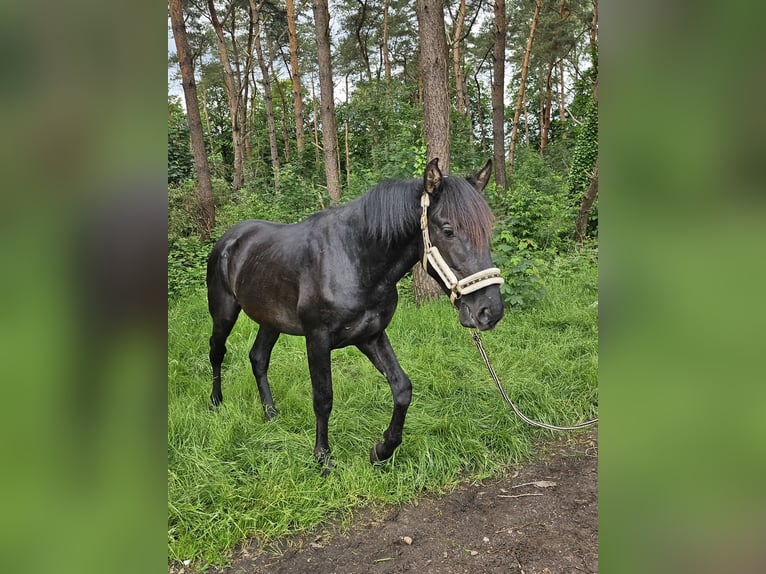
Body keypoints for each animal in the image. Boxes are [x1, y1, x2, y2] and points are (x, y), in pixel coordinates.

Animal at [207, 159, 508, 472]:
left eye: (487, 230)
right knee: (217, 351)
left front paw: (382, 450)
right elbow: (323, 398)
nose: (490, 310)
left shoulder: (371, 336)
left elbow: (402, 388)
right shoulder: (317, 339)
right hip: (224, 312)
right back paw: (216, 402)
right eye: (448, 230)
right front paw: (323, 458)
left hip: (271, 320)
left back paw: (270, 413)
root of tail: (230, 238)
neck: (355, 260)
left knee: (258, 358)